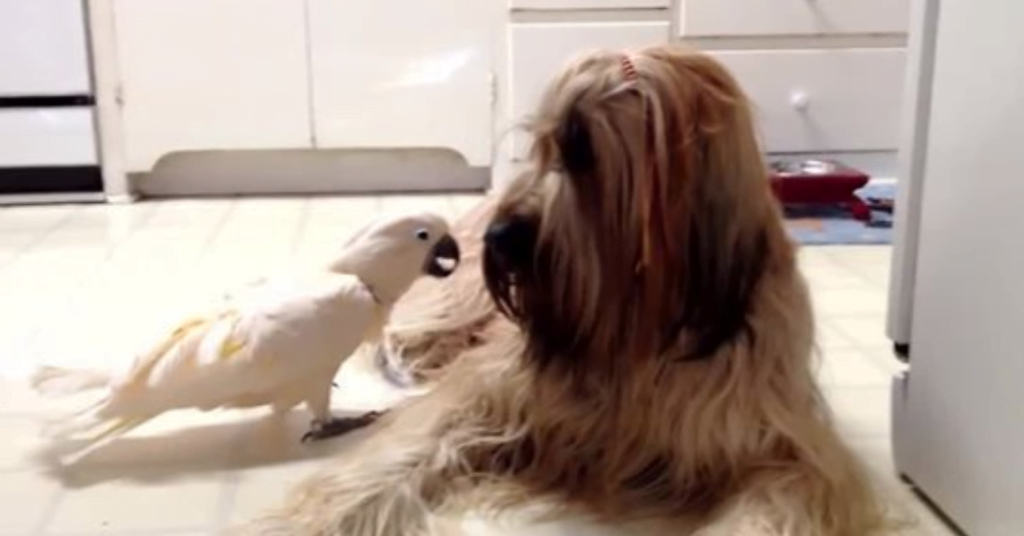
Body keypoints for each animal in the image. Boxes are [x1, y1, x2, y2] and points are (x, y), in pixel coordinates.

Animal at [235, 45, 892, 536]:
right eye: (542, 144)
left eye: (583, 150)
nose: (499, 238)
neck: (639, 321)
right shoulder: (492, 394)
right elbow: (403, 451)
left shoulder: (784, 451)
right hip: (454, 299)